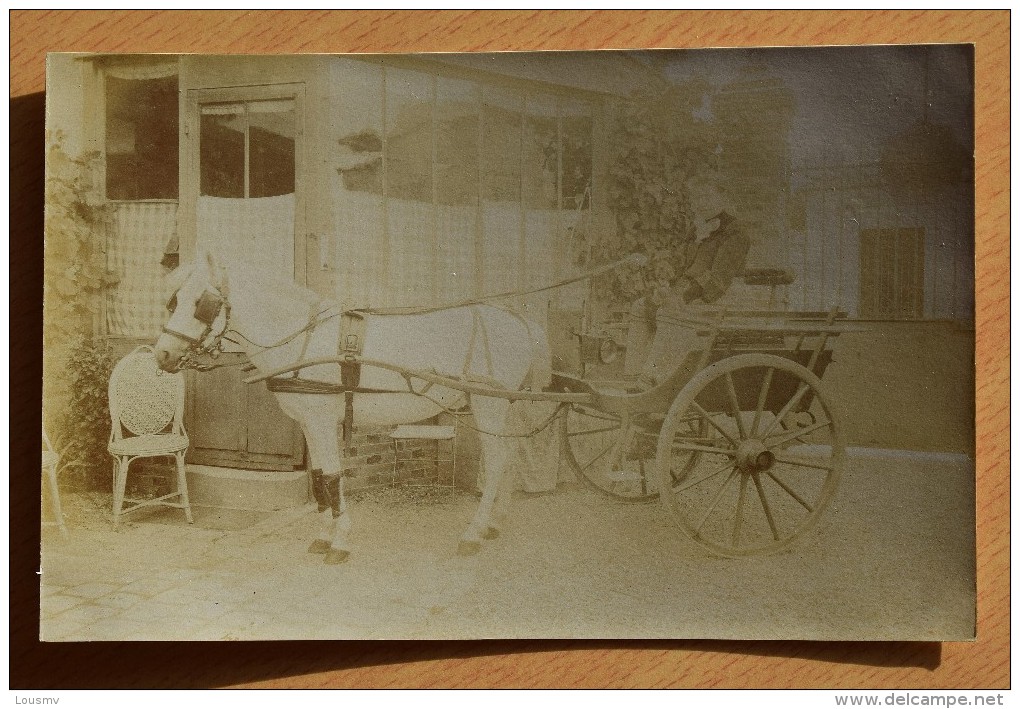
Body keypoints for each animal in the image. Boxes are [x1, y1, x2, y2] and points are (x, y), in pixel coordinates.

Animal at [155, 249, 550, 567]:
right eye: (175, 300)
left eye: (202, 303)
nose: (163, 355)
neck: (305, 338)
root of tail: (520, 321)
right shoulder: (311, 423)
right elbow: (320, 478)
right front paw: (322, 536)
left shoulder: (319, 419)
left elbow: (332, 476)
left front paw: (339, 543)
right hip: (505, 407)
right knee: (511, 456)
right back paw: (494, 524)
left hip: (489, 404)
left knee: (497, 461)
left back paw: (473, 533)